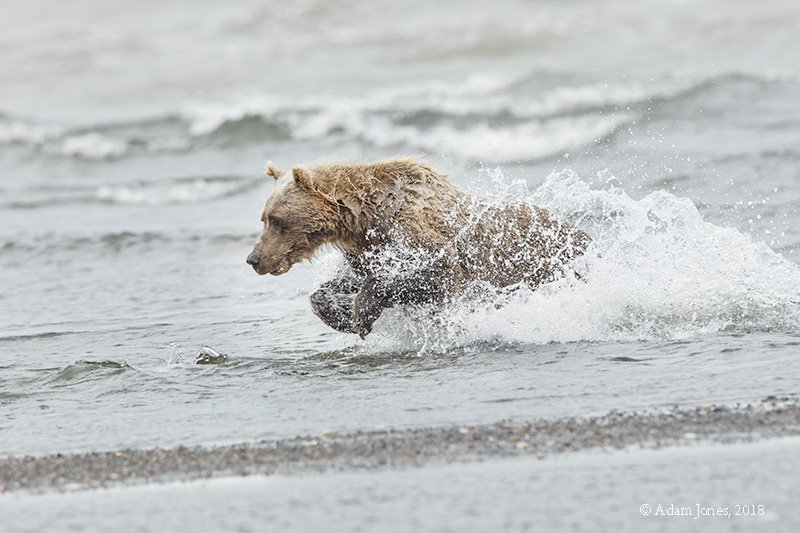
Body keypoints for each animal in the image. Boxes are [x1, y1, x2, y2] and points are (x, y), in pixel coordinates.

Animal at [246, 158, 591, 338]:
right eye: (264, 218)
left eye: (276, 219)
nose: (254, 258)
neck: (362, 219)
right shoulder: (366, 249)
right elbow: (344, 280)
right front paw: (340, 313)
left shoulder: (413, 232)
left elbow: (430, 270)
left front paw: (362, 312)